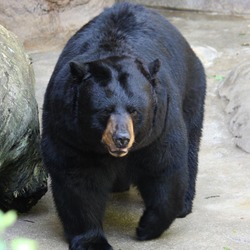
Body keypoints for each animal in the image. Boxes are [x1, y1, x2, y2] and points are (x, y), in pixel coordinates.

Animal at [41, 2, 205, 250]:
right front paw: (92, 241)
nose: (121, 138)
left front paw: (146, 227)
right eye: (105, 111)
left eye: (134, 110)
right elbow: (77, 181)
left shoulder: (160, 126)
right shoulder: (70, 133)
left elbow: (165, 168)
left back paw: (184, 205)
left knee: (191, 145)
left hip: (192, 88)